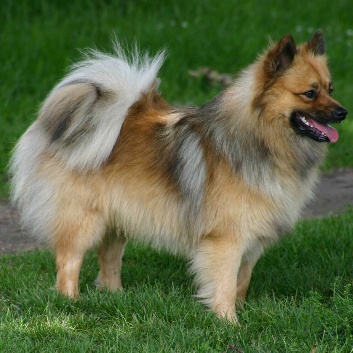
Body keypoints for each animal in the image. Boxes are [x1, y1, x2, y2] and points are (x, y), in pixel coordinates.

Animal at [8, 31, 346, 320]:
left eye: (331, 89)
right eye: (310, 93)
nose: (343, 112)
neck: (260, 138)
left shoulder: (252, 241)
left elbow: (242, 282)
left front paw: (241, 312)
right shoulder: (226, 239)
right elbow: (224, 284)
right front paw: (228, 322)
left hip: (119, 215)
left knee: (109, 256)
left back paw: (115, 296)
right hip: (84, 220)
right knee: (69, 262)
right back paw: (71, 304)